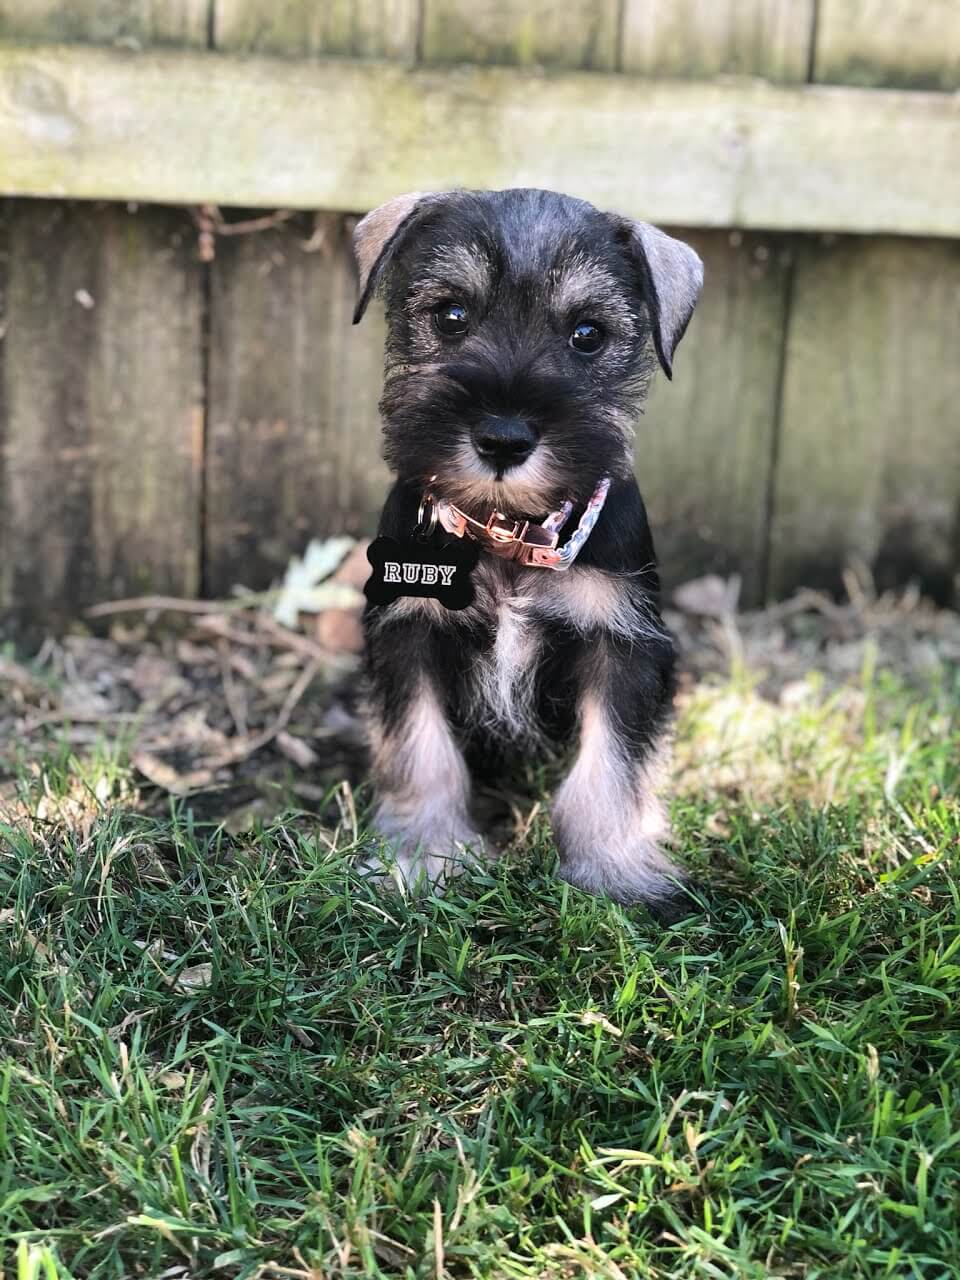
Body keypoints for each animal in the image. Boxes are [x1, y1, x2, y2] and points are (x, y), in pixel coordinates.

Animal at [353, 186, 706, 911]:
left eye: (588, 335)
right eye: (451, 315)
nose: (503, 438)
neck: (509, 531)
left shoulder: (623, 643)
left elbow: (610, 765)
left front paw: (613, 868)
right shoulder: (409, 633)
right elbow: (421, 751)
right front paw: (420, 857)